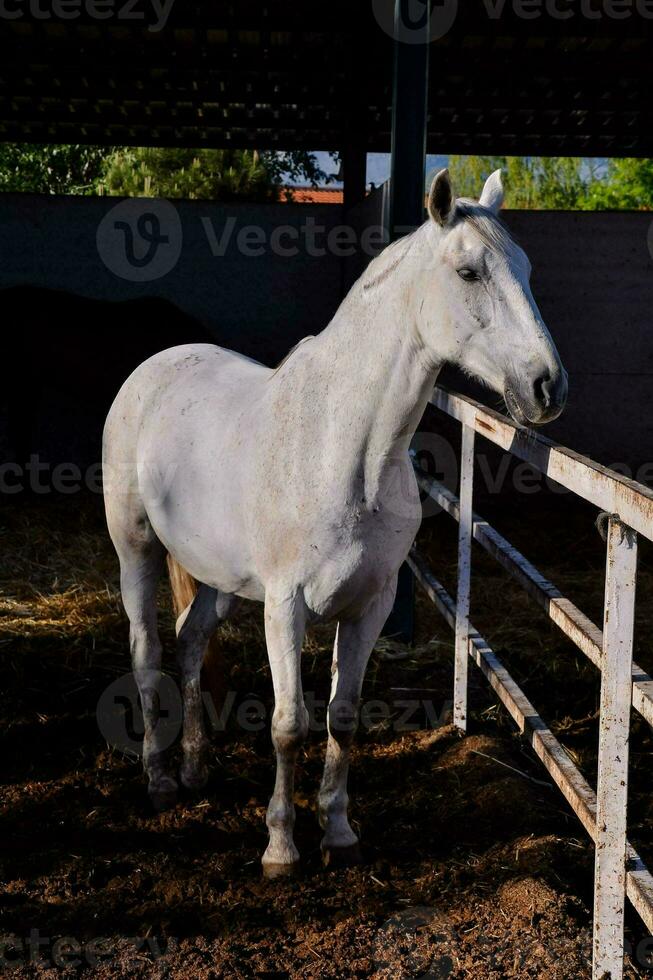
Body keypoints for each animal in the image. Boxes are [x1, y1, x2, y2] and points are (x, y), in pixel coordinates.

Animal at [102, 168, 564, 872]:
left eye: (528, 269)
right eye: (467, 272)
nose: (548, 387)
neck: (343, 446)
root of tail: (153, 368)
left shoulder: (370, 604)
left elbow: (342, 717)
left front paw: (339, 833)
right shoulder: (284, 606)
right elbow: (288, 724)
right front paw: (281, 846)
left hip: (217, 576)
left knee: (190, 638)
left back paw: (196, 768)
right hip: (137, 552)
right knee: (147, 649)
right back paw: (158, 780)